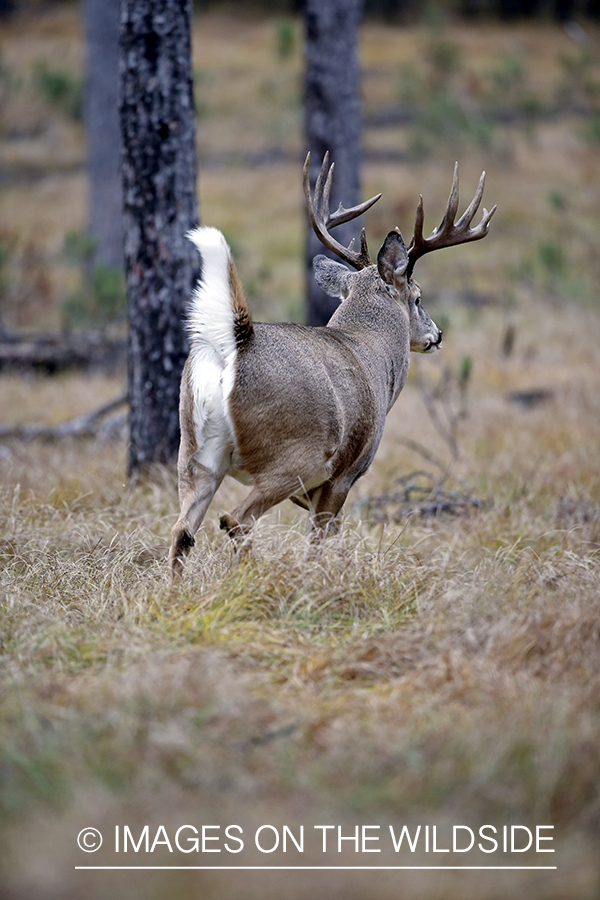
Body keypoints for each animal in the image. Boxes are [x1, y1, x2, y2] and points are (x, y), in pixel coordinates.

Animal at [169, 151, 496, 572]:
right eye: (419, 297)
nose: (437, 335)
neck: (371, 354)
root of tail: (236, 344)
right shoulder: (345, 472)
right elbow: (318, 539)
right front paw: (318, 577)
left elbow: (333, 532)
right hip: (294, 454)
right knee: (235, 519)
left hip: (194, 454)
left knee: (182, 531)